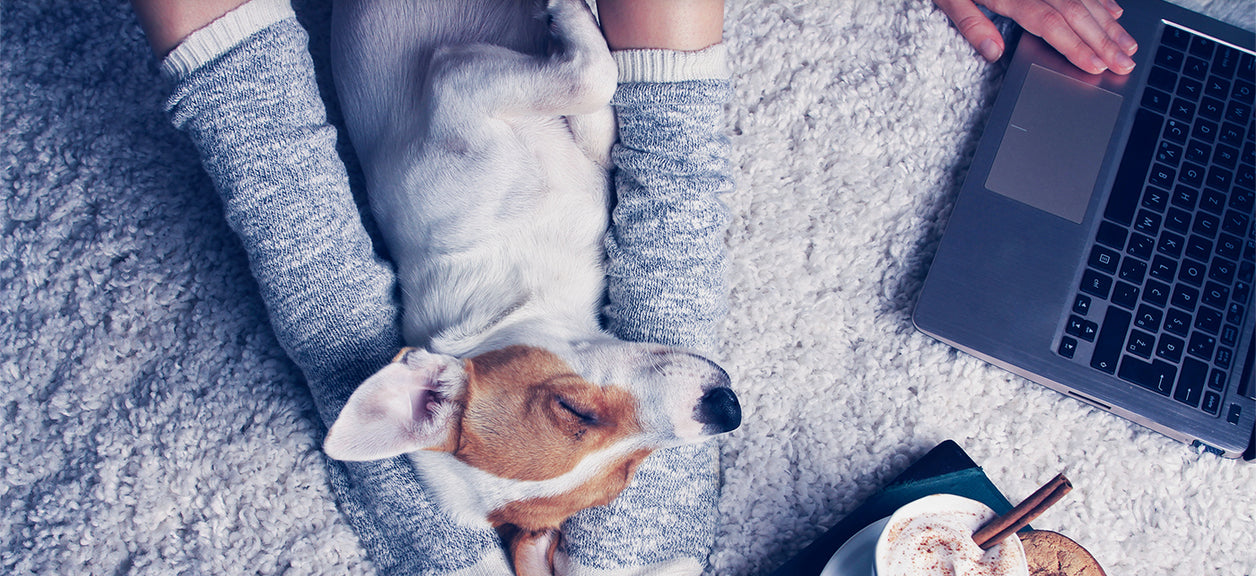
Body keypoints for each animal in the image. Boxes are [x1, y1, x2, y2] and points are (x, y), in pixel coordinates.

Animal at [319, 2, 738, 574]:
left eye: (570, 407)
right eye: (623, 478)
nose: (727, 409)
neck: (516, 286)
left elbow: (603, 123)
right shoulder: (460, 80)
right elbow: (593, 77)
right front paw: (569, 16)